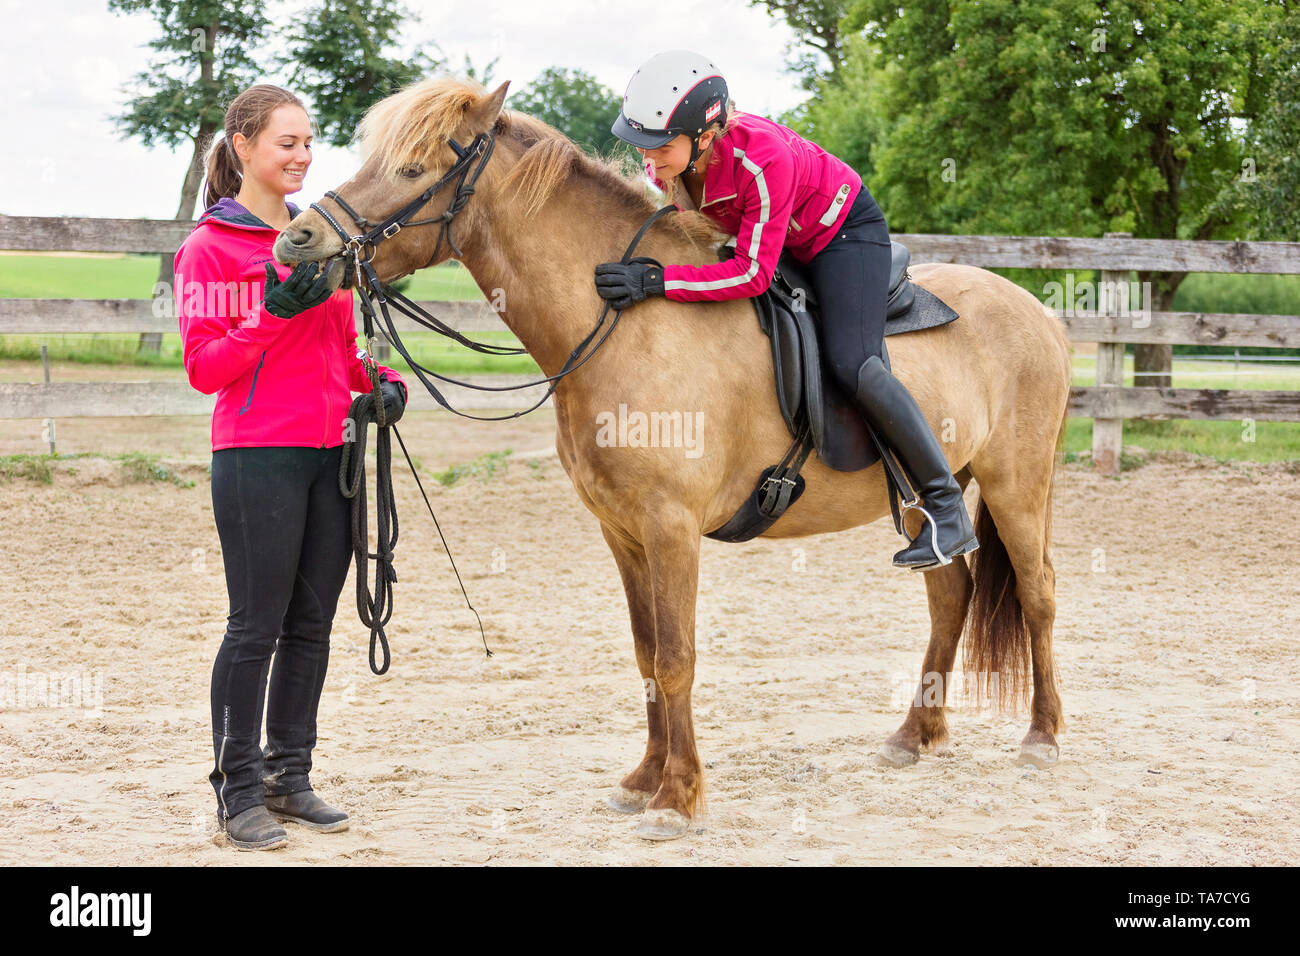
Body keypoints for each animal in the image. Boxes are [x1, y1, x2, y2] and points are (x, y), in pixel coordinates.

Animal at [271, 78, 1066, 842]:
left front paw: (678, 800)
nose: (298, 239)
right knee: (951, 592)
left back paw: (1042, 736)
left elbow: (678, 658)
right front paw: (644, 780)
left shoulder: (672, 527)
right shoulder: (624, 533)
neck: (625, 325)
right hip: (924, 499)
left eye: (411, 168)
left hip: (1016, 487)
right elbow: (648, 654)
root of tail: (1038, 309)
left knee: (1037, 595)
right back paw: (915, 733)